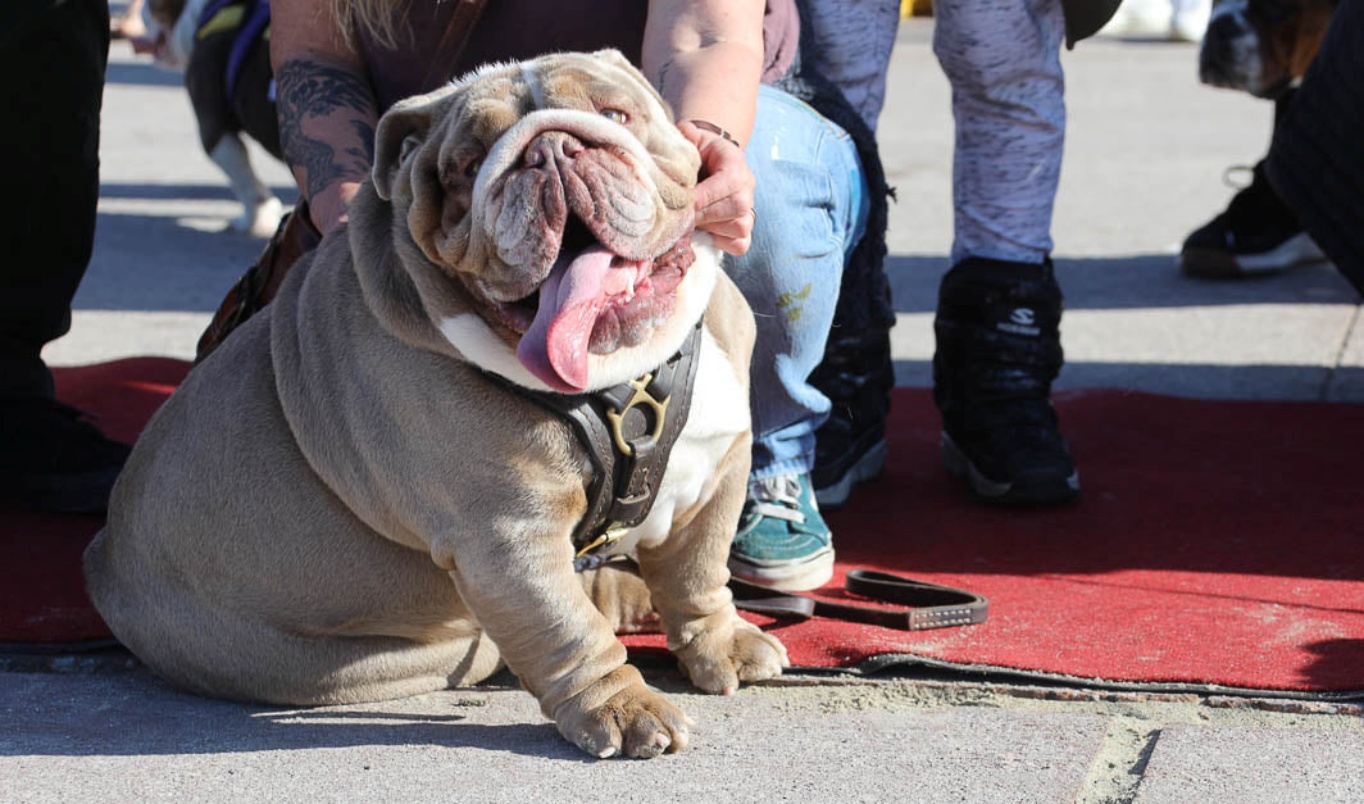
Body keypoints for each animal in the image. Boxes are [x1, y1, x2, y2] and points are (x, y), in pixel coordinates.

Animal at [82, 50, 791, 758]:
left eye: (616, 115)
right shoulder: (506, 538)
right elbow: (565, 630)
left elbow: (700, 572)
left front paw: (721, 642)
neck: (622, 374)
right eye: (464, 167)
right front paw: (622, 706)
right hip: (397, 652)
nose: (552, 149)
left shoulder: (722, 470)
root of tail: (103, 557)